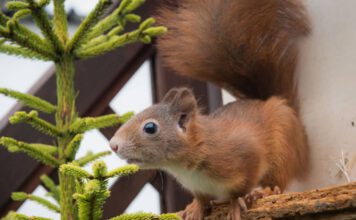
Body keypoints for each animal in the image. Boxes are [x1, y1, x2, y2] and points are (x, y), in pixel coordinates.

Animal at [110, 0, 310, 219]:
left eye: (150, 128)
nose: (113, 145)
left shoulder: (248, 154)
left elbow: (242, 186)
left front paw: (236, 203)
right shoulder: (197, 186)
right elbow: (201, 197)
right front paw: (195, 207)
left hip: (283, 148)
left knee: (278, 181)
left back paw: (264, 191)